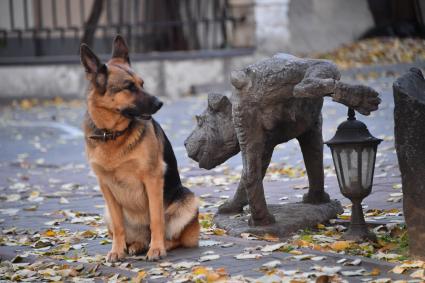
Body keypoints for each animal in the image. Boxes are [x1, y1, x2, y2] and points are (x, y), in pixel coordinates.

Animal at [81, 36, 200, 264]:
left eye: (142, 84)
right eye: (128, 87)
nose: (160, 103)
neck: (113, 135)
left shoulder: (152, 178)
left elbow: (156, 219)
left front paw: (157, 249)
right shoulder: (105, 185)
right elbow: (119, 225)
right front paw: (117, 250)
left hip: (188, 200)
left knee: (173, 237)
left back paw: (159, 245)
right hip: (106, 211)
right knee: (134, 235)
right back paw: (135, 246)